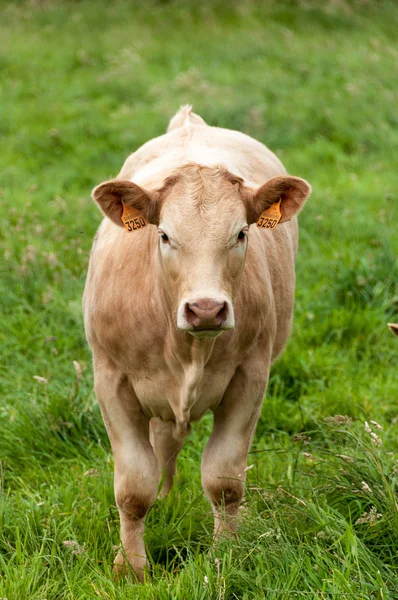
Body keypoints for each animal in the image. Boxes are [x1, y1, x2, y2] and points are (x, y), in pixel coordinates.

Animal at [84, 105, 312, 580]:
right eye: (165, 235)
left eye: (241, 233)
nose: (206, 309)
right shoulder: (110, 382)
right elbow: (133, 487)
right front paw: (131, 567)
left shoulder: (250, 378)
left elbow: (223, 481)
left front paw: (227, 554)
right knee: (162, 446)